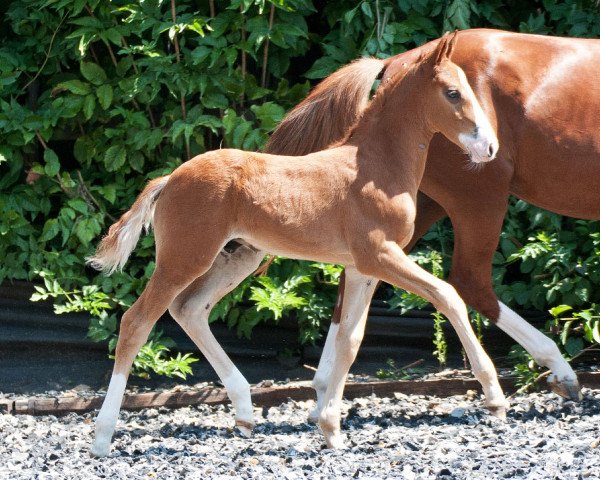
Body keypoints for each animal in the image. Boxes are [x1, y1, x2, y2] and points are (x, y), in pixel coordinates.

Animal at [88, 32, 502, 454]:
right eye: (453, 93)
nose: (488, 148)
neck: (377, 167)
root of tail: (169, 179)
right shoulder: (380, 255)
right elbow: (447, 295)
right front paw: (494, 396)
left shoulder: (361, 268)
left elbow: (350, 341)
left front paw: (331, 428)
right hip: (185, 257)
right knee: (136, 322)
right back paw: (103, 438)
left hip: (238, 259)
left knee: (188, 309)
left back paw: (245, 413)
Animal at [268, 27, 592, 412]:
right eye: (452, 93)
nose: (488, 146)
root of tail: (397, 60)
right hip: (477, 198)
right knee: (468, 282)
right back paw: (554, 371)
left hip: (417, 214)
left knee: (356, 278)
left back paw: (322, 393)